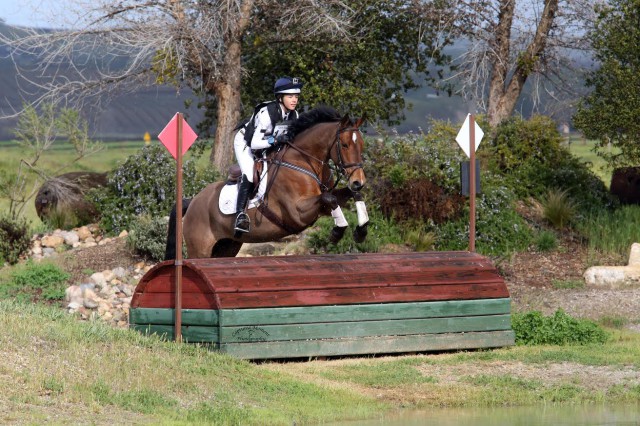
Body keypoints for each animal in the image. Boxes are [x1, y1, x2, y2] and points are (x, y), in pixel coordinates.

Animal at [165, 106, 370, 260]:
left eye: (361, 145)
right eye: (345, 145)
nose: (358, 181)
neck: (304, 161)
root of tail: (193, 201)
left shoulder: (320, 206)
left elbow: (348, 196)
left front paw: (361, 230)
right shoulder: (297, 212)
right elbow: (329, 198)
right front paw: (338, 231)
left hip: (227, 246)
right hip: (200, 249)